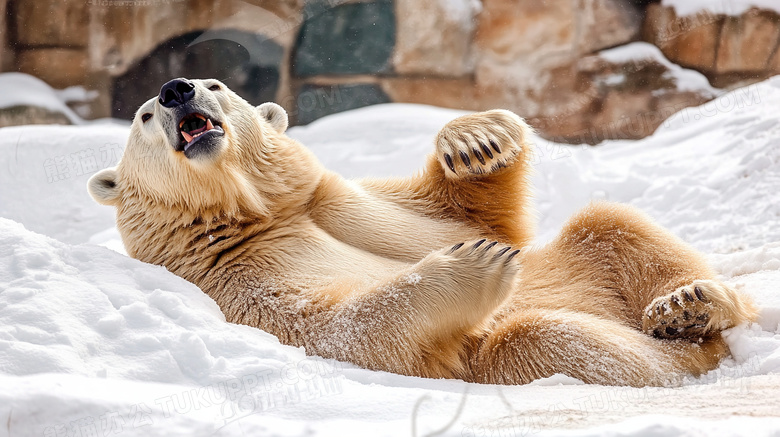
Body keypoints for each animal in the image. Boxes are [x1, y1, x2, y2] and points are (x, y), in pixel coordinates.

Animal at [90, 78, 756, 384]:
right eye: (143, 115)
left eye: (217, 86)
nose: (176, 89)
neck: (255, 213)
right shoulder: (238, 281)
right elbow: (343, 331)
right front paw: (475, 265)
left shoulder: (339, 197)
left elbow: (460, 214)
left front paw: (477, 140)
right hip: (500, 353)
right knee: (537, 335)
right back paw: (687, 352)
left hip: (574, 264)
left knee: (610, 226)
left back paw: (688, 306)